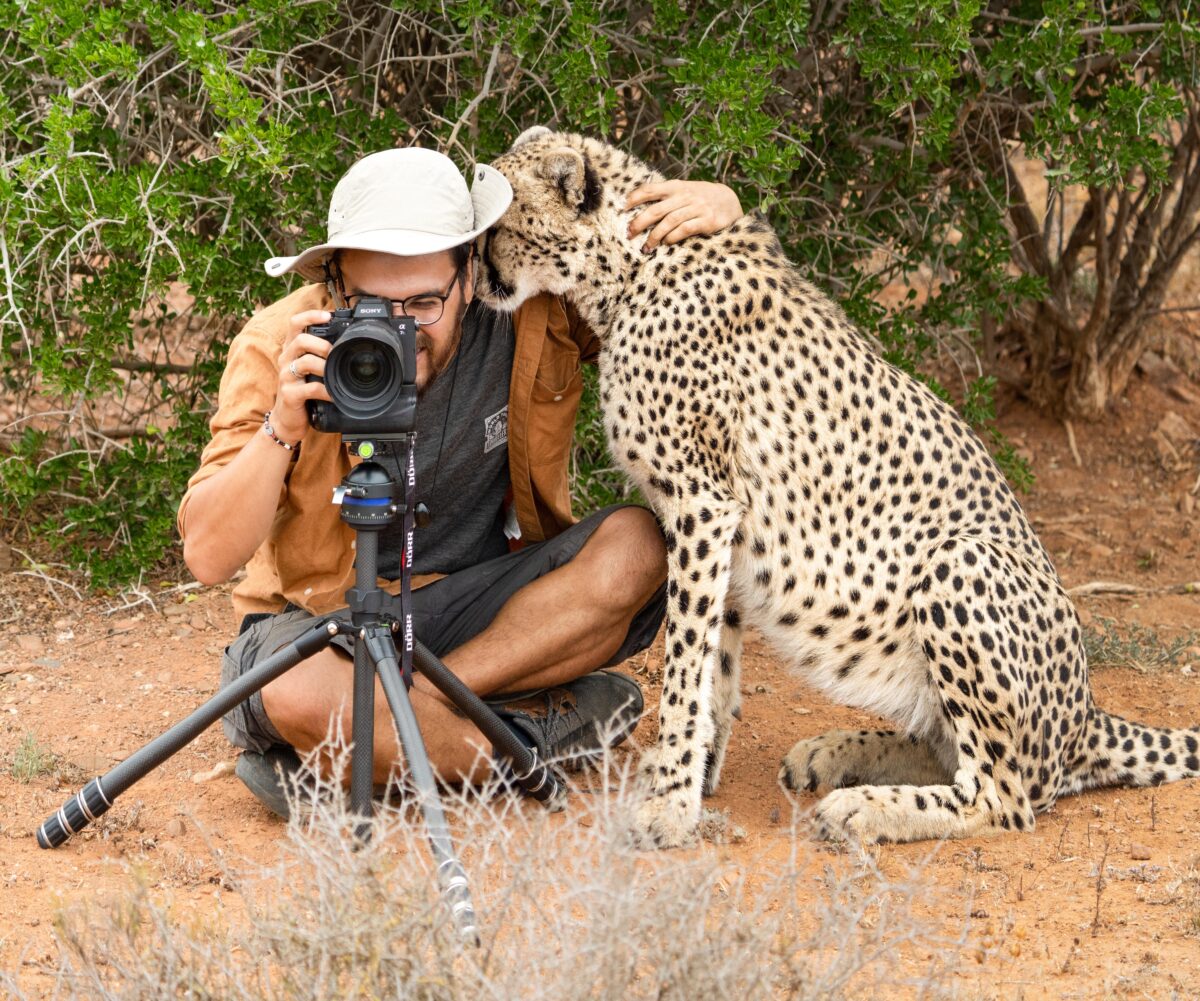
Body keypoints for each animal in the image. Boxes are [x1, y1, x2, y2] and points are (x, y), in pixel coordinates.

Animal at [477, 123, 1200, 844]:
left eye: (500, 225)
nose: (476, 279)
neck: (629, 267)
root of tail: (1087, 715)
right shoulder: (723, 518)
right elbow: (717, 665)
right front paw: (696, 778)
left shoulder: (701, 503)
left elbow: (685, 665)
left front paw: (670, 803)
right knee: (951, 750)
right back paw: (834, 753)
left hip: (959, 560)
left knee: (1004, 796)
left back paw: (867, 805)